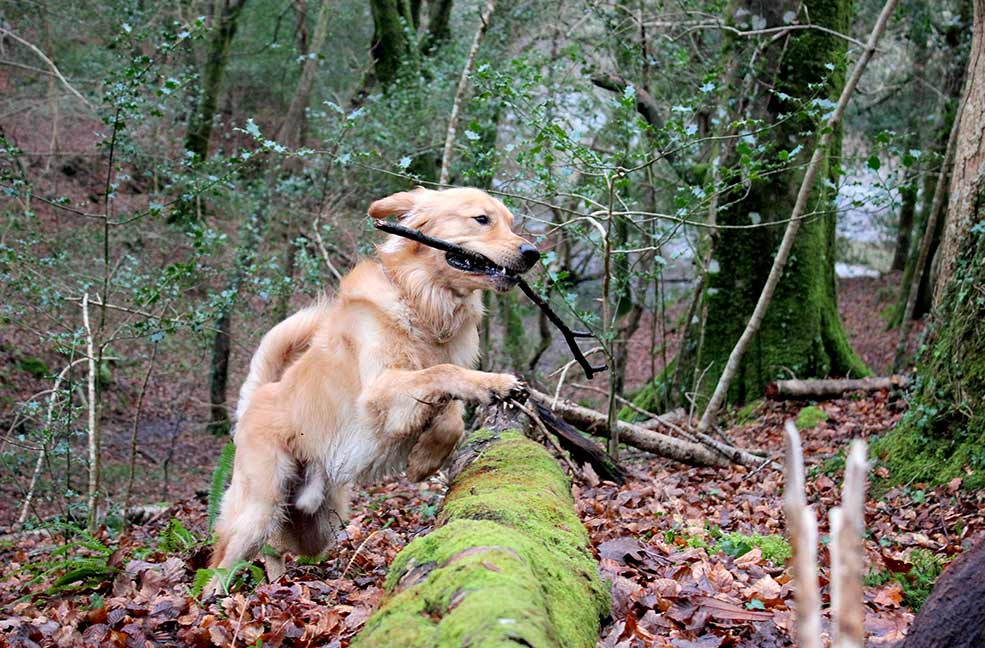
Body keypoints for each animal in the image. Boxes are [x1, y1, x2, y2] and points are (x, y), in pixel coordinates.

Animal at [207, 185, 540, 580]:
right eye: (481, 219)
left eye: (511, 223)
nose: (532, 253)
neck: (422, 302)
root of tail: (258, 395)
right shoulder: (379, 389)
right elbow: (443, 373)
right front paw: (496, 383)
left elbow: (452, 413)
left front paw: (426, 457)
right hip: (259, 507)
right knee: (220, 563)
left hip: (317, 524)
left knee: (276, 547)